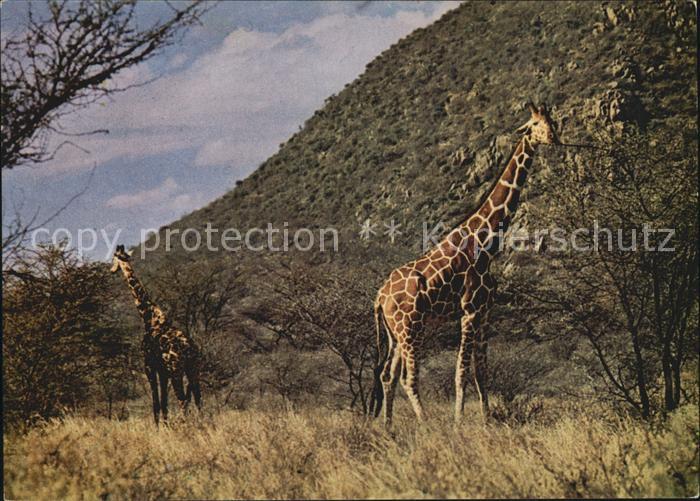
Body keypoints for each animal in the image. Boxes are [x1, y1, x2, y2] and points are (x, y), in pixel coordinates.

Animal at [110, 245, 202, 424]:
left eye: (113, 258)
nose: (111, 270)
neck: (149, 317)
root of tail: (189, 349)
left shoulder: (149, 367)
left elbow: (156, 403)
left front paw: (158, 426)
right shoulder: (162, 371)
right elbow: (164, 403)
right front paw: (165, 425)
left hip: (176, 370)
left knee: (182, 400)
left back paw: (186, 425)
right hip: (192, 368)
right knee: (197, 398)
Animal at [371, 103, 559, 425]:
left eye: (552, 122)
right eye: (535, 124)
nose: (554, 139)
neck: (487, 243)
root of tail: (379, 298)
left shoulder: (485, 312)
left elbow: (481, 372)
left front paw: (487, 421)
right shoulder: (468, 310)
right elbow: (461, 373)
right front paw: (460, 422)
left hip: (395, 334)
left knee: (387, 376)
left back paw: (388, 428)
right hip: (411, 328)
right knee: (408, 378)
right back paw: (426, 424)